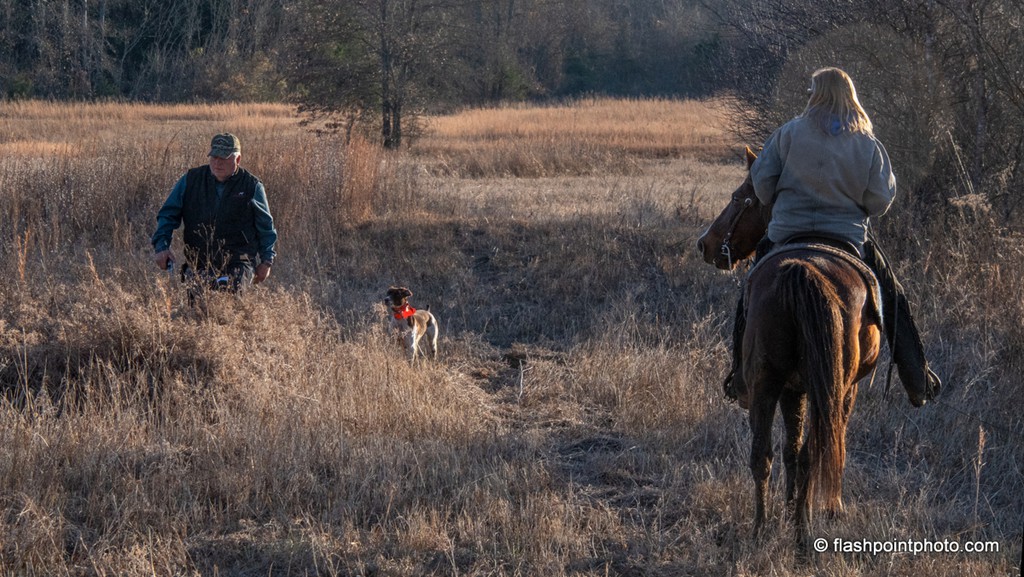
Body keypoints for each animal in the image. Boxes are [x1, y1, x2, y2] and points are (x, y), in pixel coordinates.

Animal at [695, 147, 883, 553]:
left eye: (739, 197)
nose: (705, 244)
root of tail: (803, 270)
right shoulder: (822, 389)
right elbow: (809, 448)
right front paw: (813, 507)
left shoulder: (789, 389)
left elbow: (788, 451)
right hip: (826, 388)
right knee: (814, 451)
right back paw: (801, 532)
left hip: (767, 385)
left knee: (763, 456)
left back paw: (761, 528)